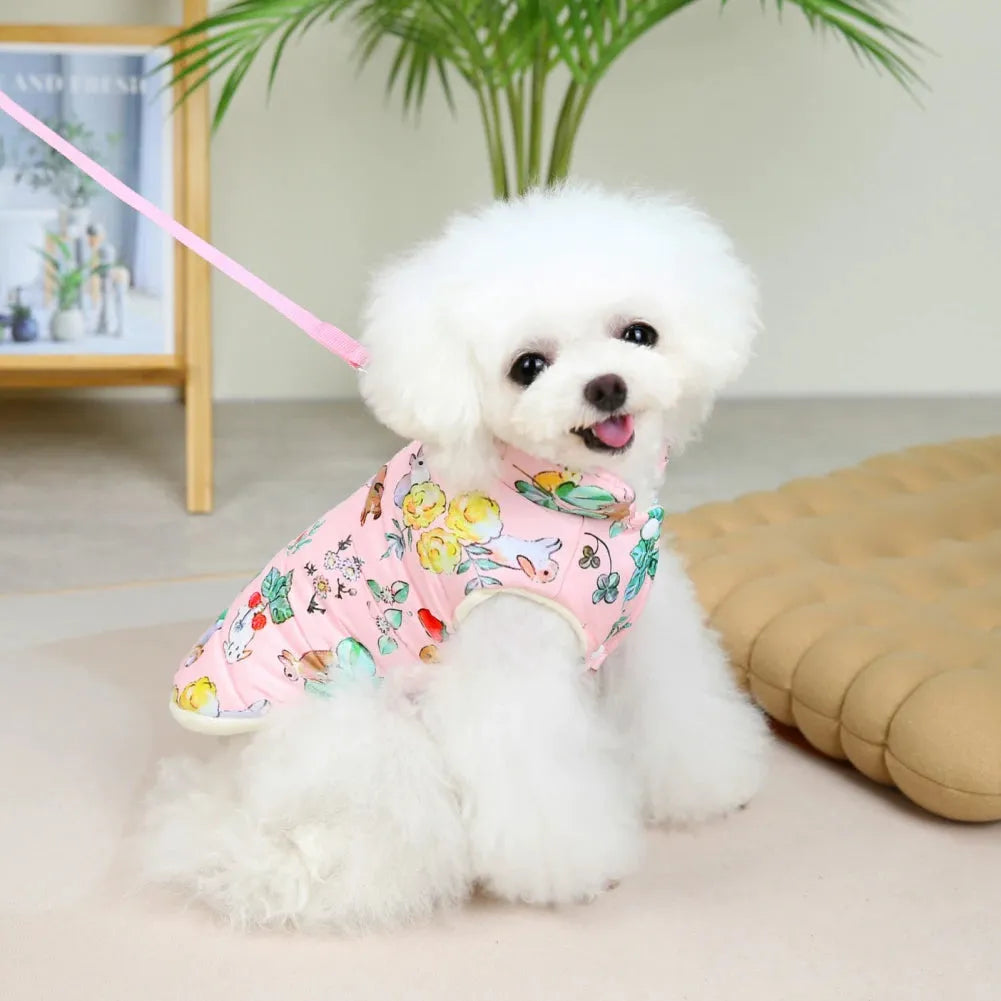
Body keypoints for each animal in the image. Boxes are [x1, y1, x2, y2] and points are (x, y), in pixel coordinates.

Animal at [139, 182, 764, 928]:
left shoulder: (643, 630)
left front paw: (708, 784)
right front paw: (572, 869)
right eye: (528, 367)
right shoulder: (511, 665)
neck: (576, 496)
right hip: (373, 734)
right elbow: (540, 780)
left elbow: (676, 709)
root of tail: (241, 800)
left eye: (638, 333)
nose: (607, 385)